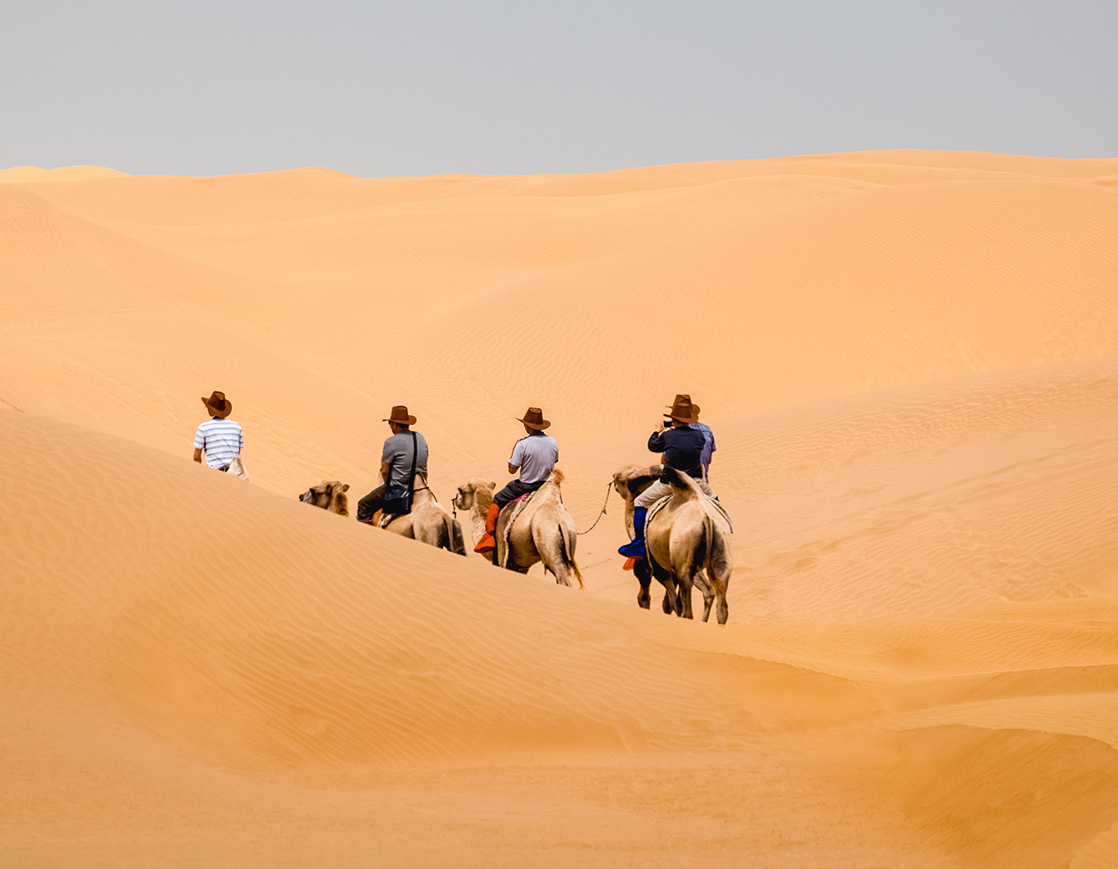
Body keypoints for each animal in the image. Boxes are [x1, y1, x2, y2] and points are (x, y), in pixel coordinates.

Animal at [453, 471, 585, 586]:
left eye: (460, 490)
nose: (455, 500)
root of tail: (560, 522)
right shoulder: (520, 566)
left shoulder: (500, 557)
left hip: (549, 546)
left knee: (562, 579)